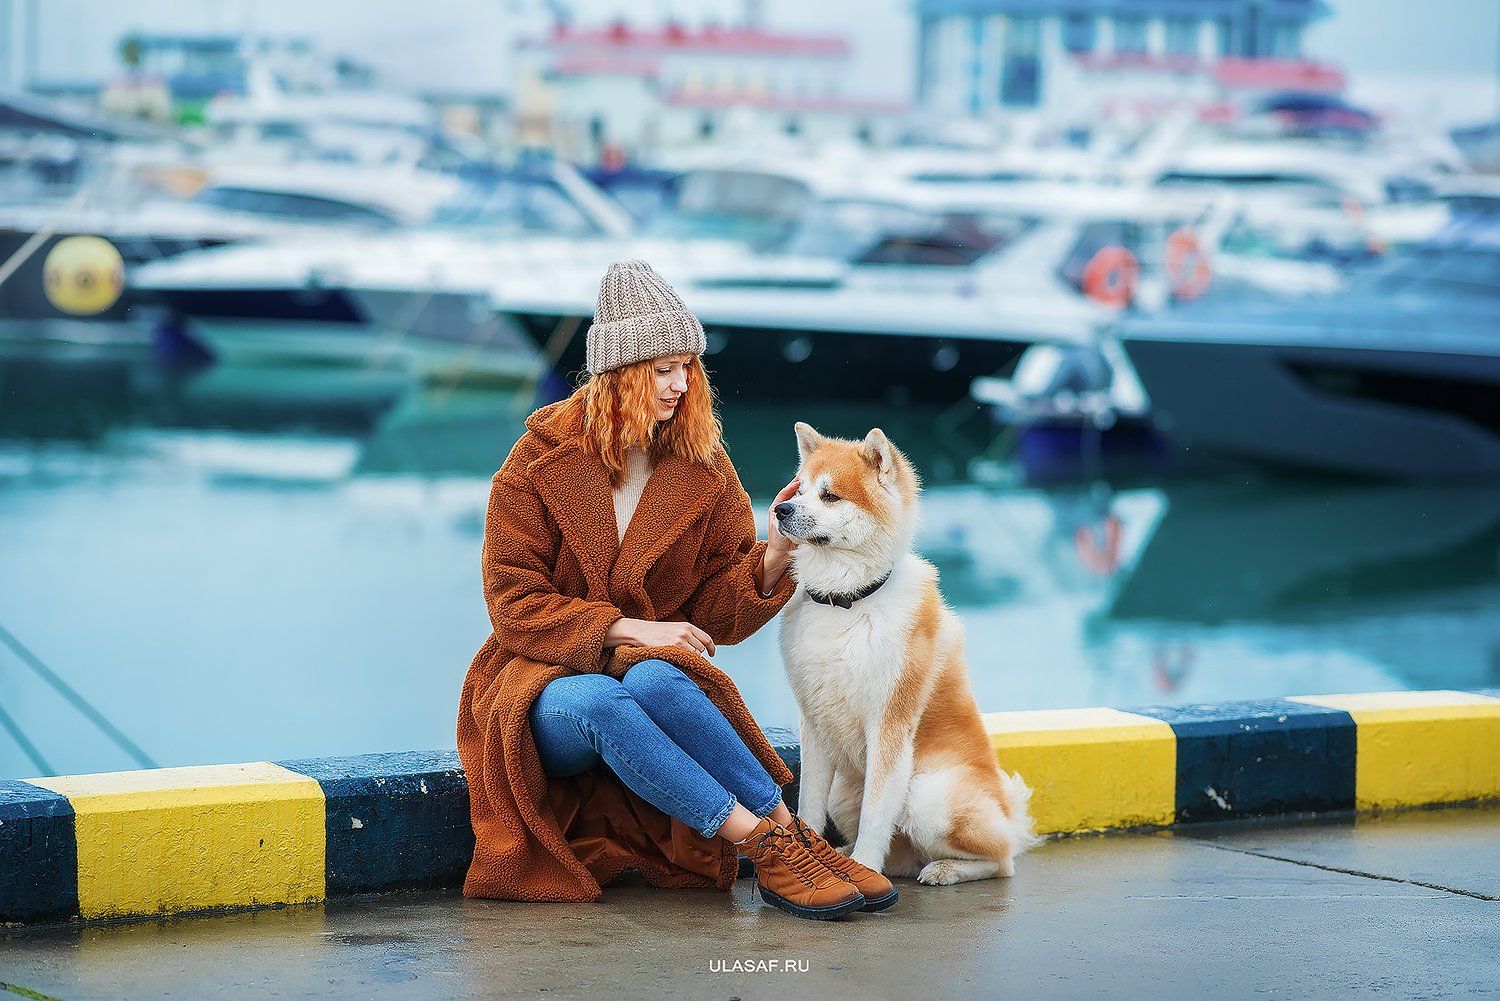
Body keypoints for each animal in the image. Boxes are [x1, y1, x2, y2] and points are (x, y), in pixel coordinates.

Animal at [768, 423, 1038, 882]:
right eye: (799, 489)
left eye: (830, 495)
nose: (781, 510)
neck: (848, 601)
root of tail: (1008, 814)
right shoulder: (814, 722)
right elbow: (807, 806)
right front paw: (815, 851)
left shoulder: (889, 724)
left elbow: (877, 812)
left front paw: (863, 867)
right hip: (845, 791)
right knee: (903, 854)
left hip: (928, 795)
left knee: (1002, 860)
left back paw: (945, 869)